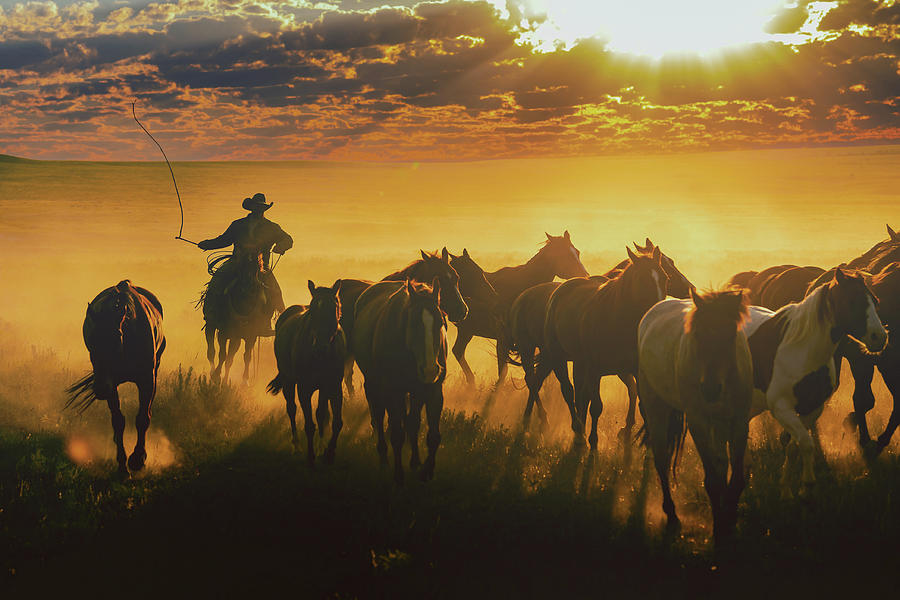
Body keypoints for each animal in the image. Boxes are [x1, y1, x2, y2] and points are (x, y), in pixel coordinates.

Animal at [67, 282, 167, 478]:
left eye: (116, 339)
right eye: (91, 344)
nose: (99, 389)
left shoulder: (147, 380)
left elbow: (142, 418)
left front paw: (137, 460)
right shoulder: (111, 385)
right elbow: (118, 422)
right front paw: (122, 467)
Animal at [266, 278, 346, 466]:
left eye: (333, 308)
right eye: (313, 310)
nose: (321, 348)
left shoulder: (331, 387)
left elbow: (330, 419)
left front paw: (327, 451)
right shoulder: (304, 389)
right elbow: (309, 424)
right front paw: (311, 456)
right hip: (288, 381)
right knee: (291, 408)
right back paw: (296, 446)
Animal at [450, 232, 592, 386]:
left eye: (577, 252)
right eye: (563, 255)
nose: (585, 276)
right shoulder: (503, 339)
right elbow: (503, 373)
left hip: (467, 330)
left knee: (457, 351)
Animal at [540, 246, 668, 448]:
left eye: (665, 278)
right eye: (642, 279)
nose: (657, 310)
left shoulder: (635, 370)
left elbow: (642, 405)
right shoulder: (594, 370)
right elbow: (596, 406)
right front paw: (593, 442)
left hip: (582, 363)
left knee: (581, 395)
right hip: (559, 358)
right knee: (569, 391)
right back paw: (578, 429)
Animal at [744, 270, 884, 500]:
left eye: (875, 301)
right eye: (852, 301)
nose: (879, 337)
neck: (802, 352)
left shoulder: (813, 408)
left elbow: (795, 446)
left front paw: (789, 489)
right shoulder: (782, 408)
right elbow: (806, 443)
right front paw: (807, 484)